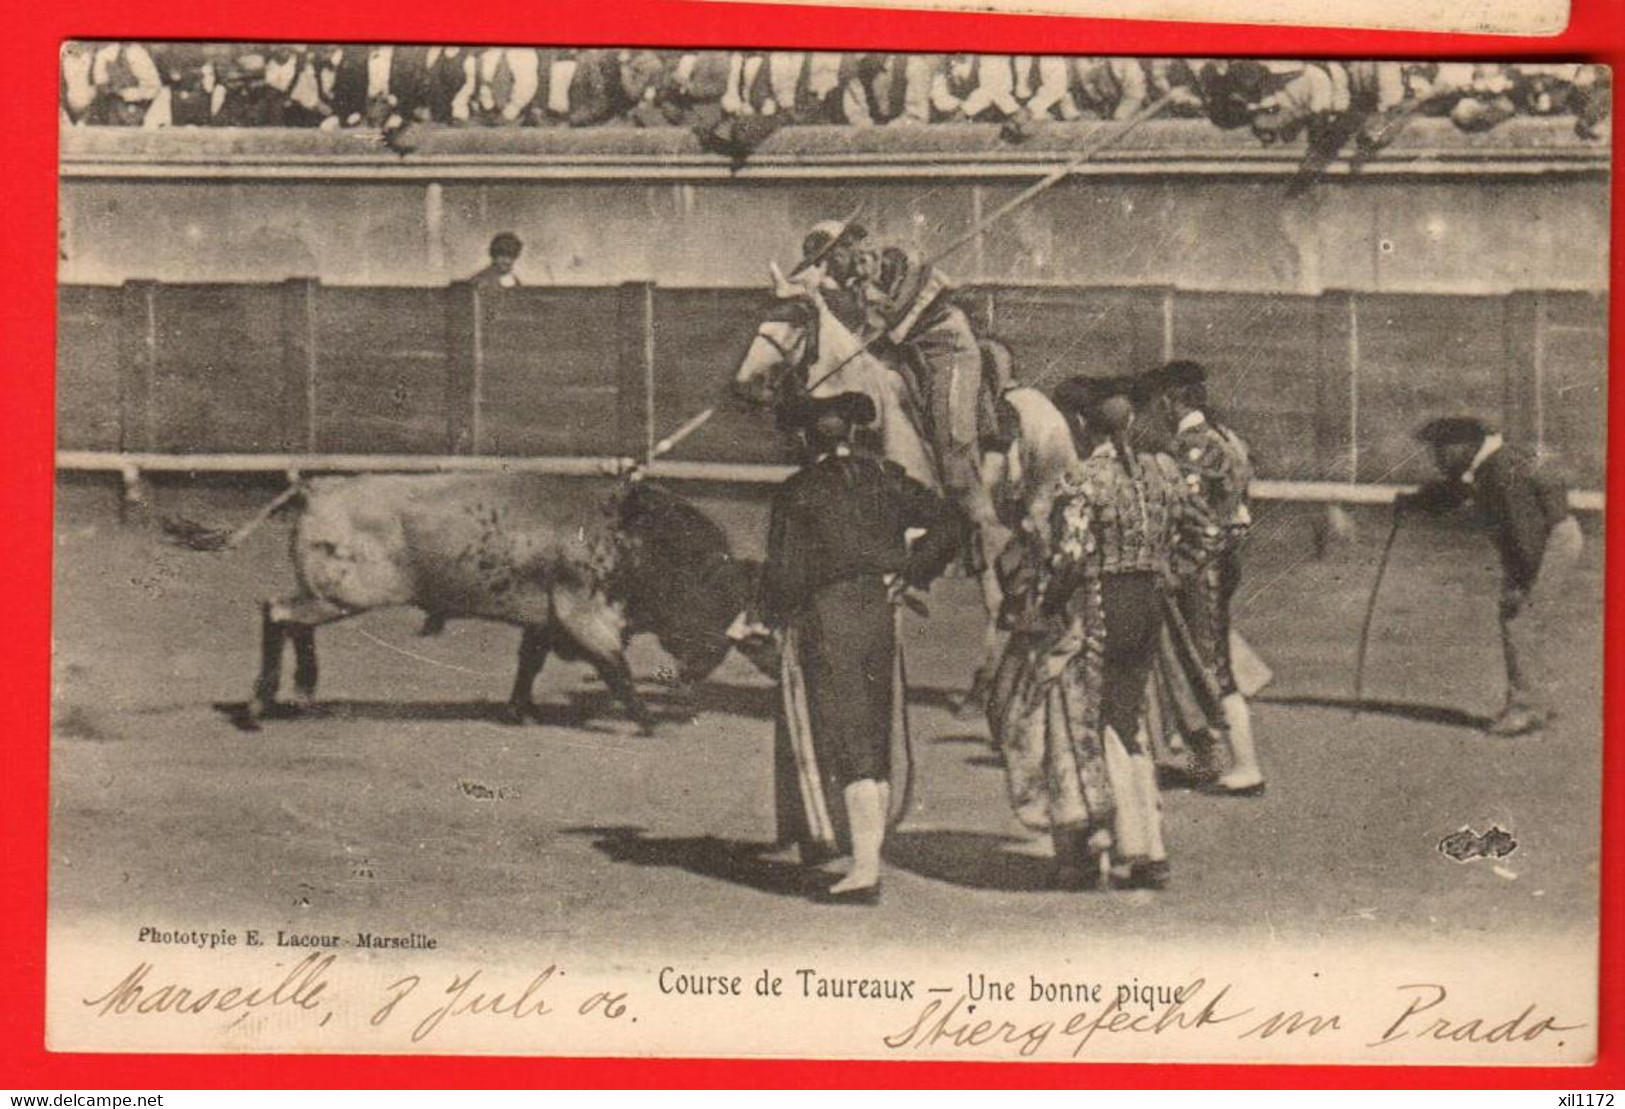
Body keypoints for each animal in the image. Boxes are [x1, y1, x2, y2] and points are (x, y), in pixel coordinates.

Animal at [161, 471, 757, 728]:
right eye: (712, 596)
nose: (698, 671)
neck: (636, 537)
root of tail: (317, 488)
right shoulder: (585, 615)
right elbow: (617, 669)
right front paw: (648, 722)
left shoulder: (544, 619)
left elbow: (528, 664)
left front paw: (519, 712)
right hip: (344, 594)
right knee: (277, 612)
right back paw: (258, 708)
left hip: (330, 594)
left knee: (293, 621)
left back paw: (303, 696)